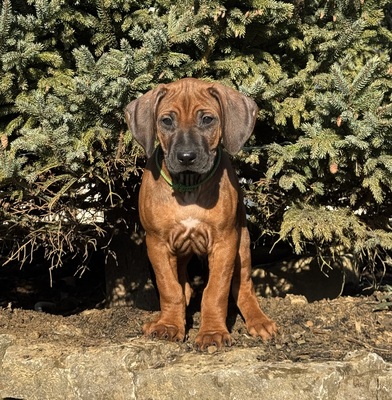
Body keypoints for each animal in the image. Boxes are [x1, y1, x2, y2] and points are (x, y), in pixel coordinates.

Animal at [125, 78, 276, 350]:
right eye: (167, 121)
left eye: (207, 119)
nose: (186, 157)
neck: (189, 186)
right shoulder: (157, 243)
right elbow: (170, 289)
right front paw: (169, 325)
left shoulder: (225, 243)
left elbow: (214, 291)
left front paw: (212, 332)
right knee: (182, 287)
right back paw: (160, 320)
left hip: (242, 245)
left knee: (244, 287)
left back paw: (259, 321)